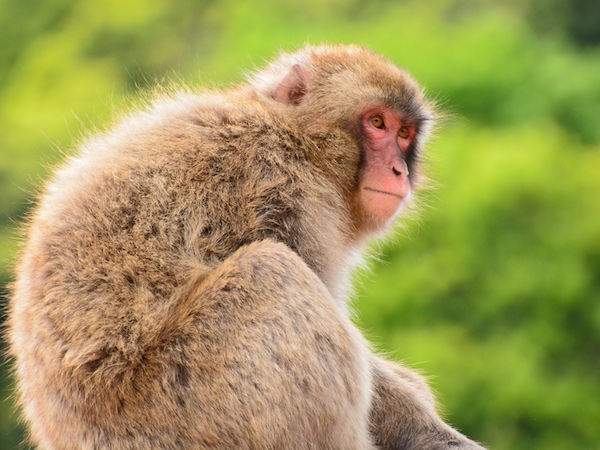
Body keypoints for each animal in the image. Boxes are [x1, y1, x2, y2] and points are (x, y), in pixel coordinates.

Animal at [7, 44, 486, 448]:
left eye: (404, 133)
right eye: (377, 123)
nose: (398, 171)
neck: (297, 137)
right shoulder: (286, 190)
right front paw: (432, 434)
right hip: (187, 402)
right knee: (273, 270)